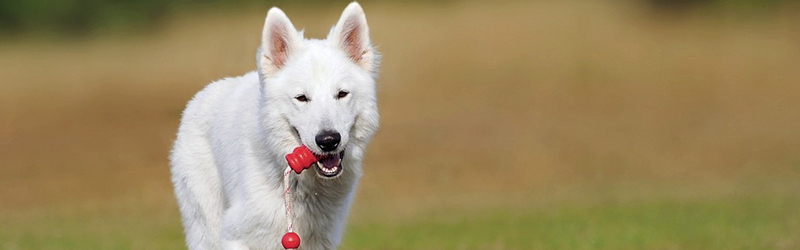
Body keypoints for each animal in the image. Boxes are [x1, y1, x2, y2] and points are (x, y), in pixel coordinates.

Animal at [168, 2, 378, 250]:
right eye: (301, 98)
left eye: (342, 94)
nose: (328, 141)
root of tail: (201, 95)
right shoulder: (236, 236)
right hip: (206, 228)